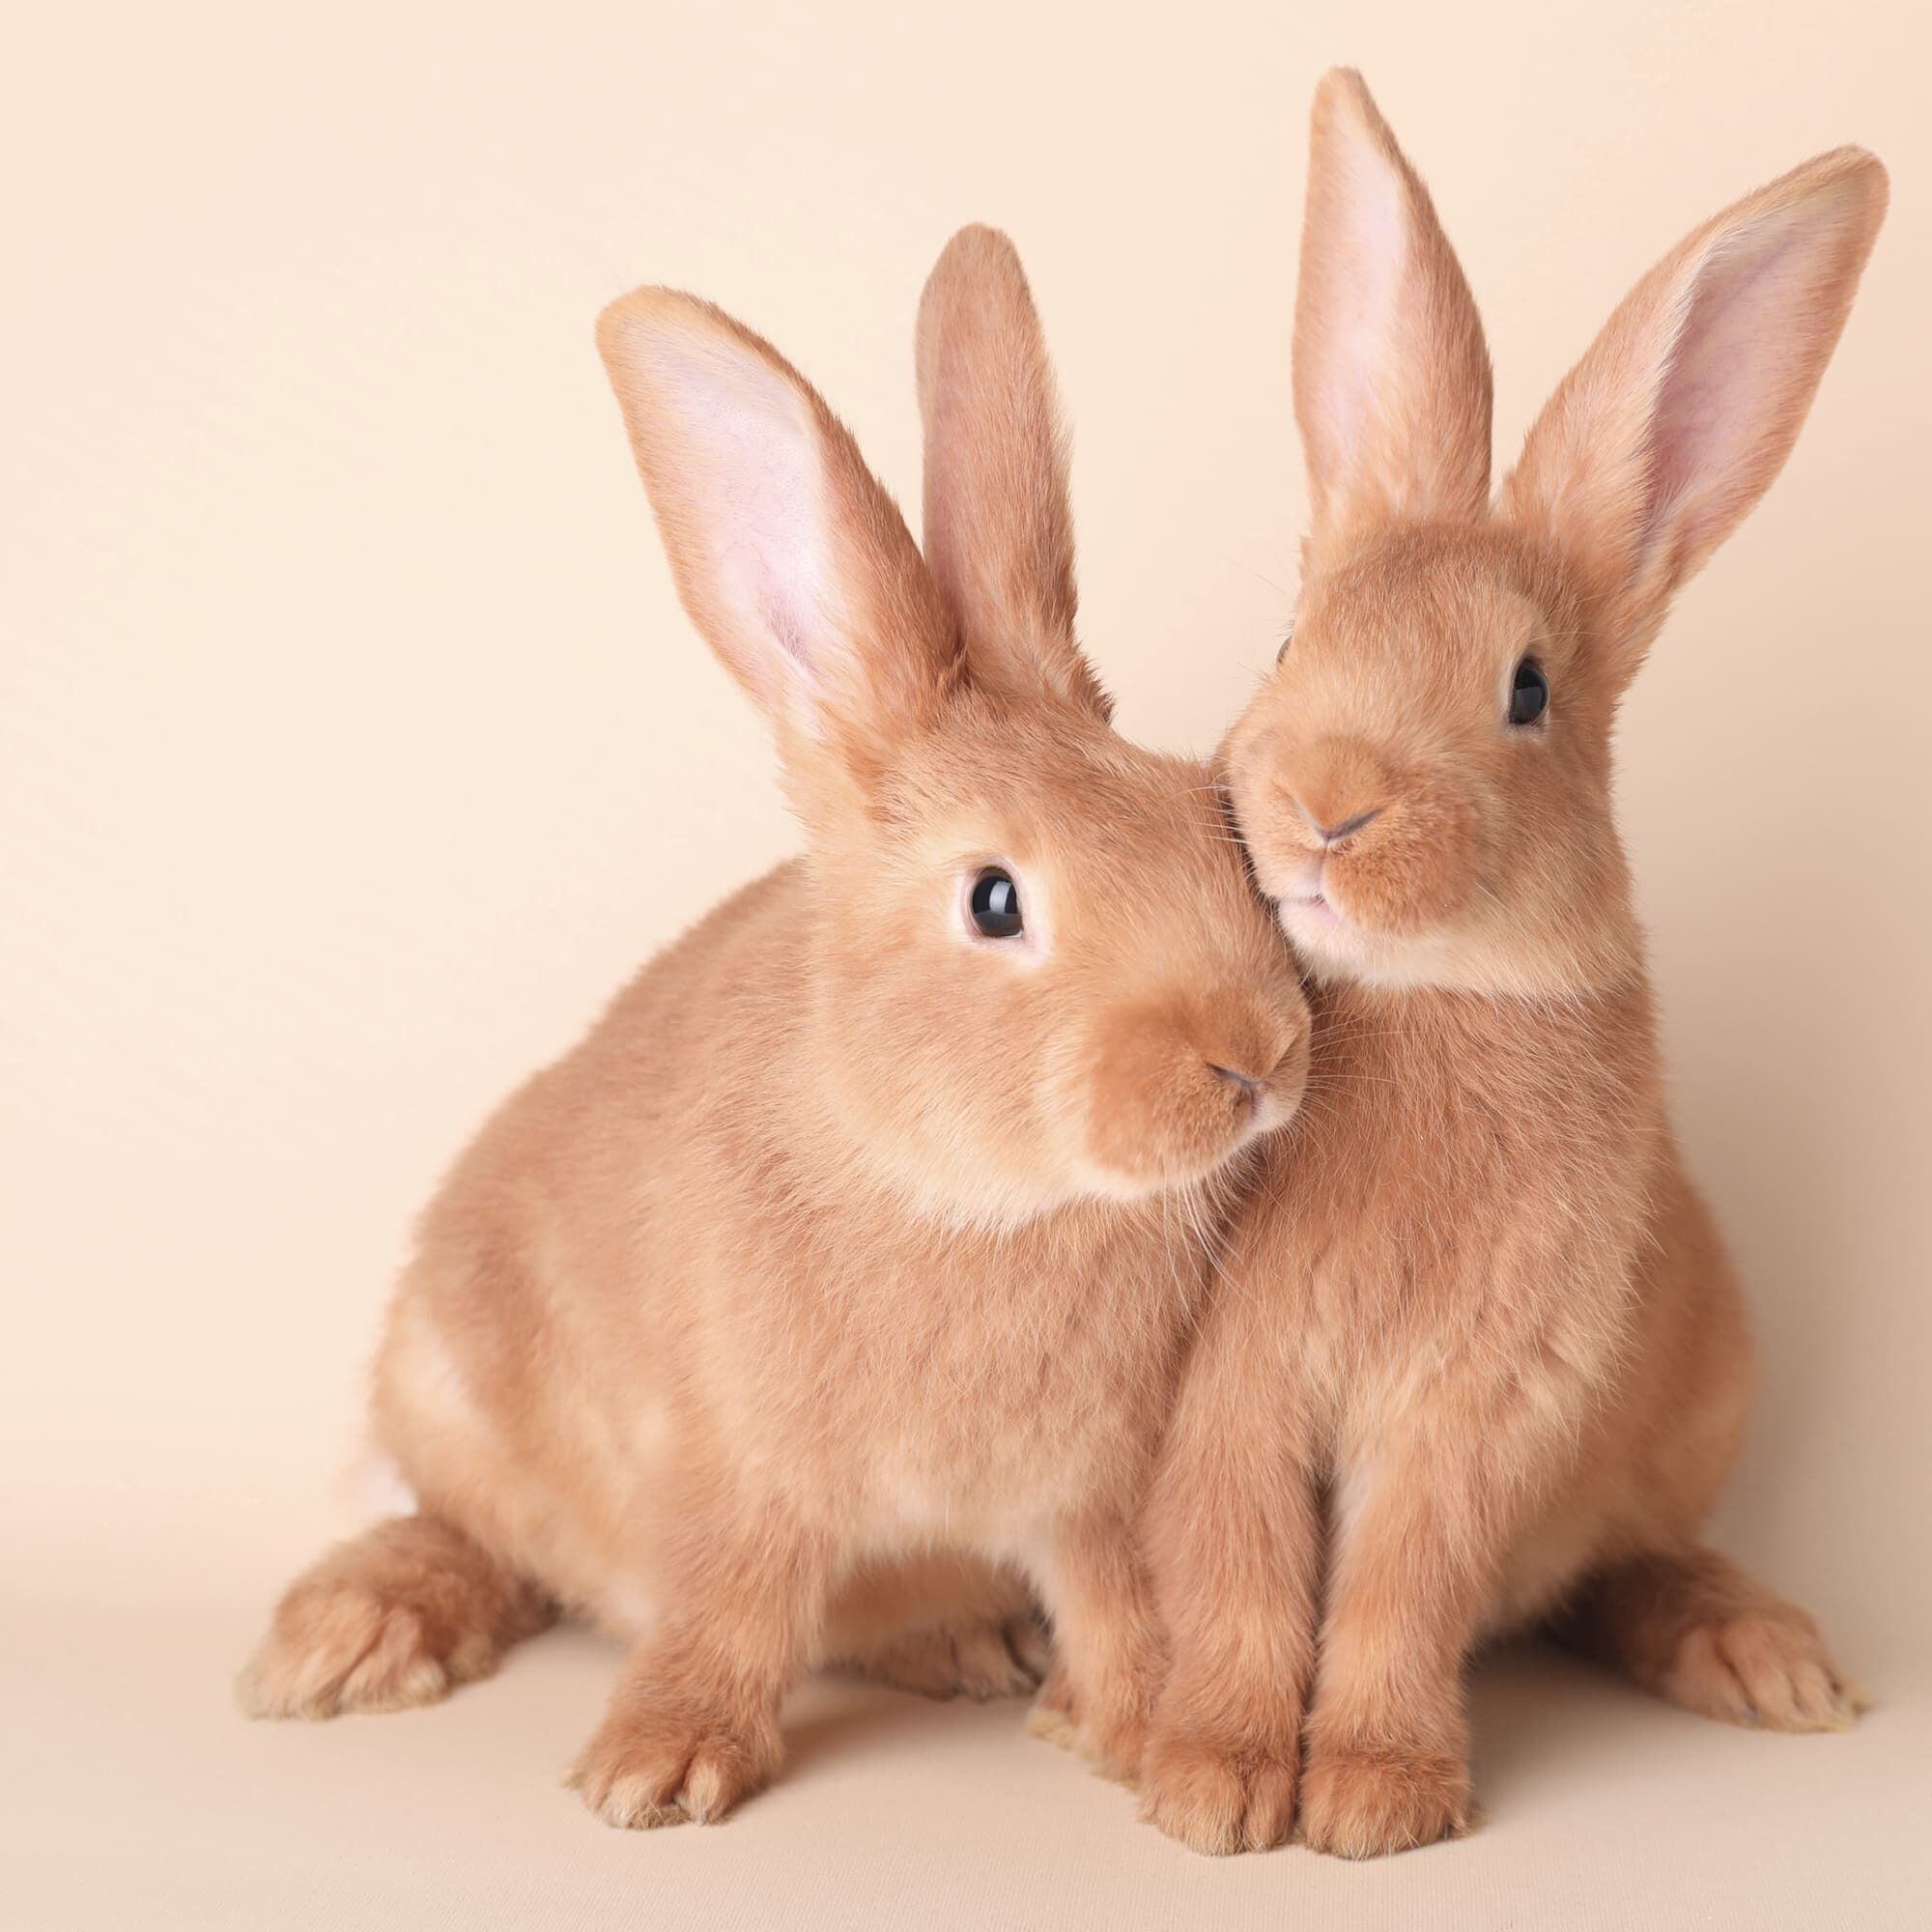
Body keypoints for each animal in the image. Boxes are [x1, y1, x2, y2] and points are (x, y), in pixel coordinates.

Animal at [237, 224, 1312, 1829]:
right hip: (448, 1377)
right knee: (479, 1534)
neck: (959, 1190)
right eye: (996, 900)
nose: (1257, 1055)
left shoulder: (1089, 1495)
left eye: (1209, 819)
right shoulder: (737, 1472)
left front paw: (1145, 1749)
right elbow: (730, 1606)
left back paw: (971, 1647)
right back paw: (350, 1638)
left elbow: (1123, 1605)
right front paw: (655, 1771)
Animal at [1136, 70, 1887, 1858]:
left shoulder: (1474, 1409)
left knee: (1633, 1566)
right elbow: (1241, 1578)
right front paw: (1213, 1790)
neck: (1425, 994)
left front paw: (1373, 1804)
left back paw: (1768, 1666)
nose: (1328, 808)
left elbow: (1397, 1594)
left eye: (1528, 691)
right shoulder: (1226, 1397)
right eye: (1292, 640)